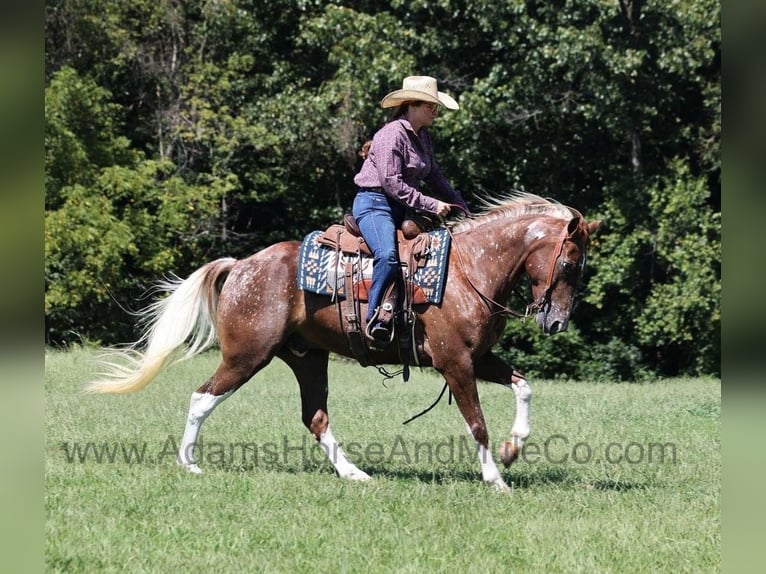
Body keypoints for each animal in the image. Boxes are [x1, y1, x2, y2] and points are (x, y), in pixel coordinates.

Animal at [86, 193, 600, 492]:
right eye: (570, 264)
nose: (556, 323)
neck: (467, 269)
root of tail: (242, 265)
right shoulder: (455, 362)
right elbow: (477, 424)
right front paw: (495, 479)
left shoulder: (481, 358)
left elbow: (524, 386)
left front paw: (515, 448)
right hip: (247, 355)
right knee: (202, 397)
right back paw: (189, 464)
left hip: (307, 358)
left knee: (314, 416)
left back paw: (353, 473)